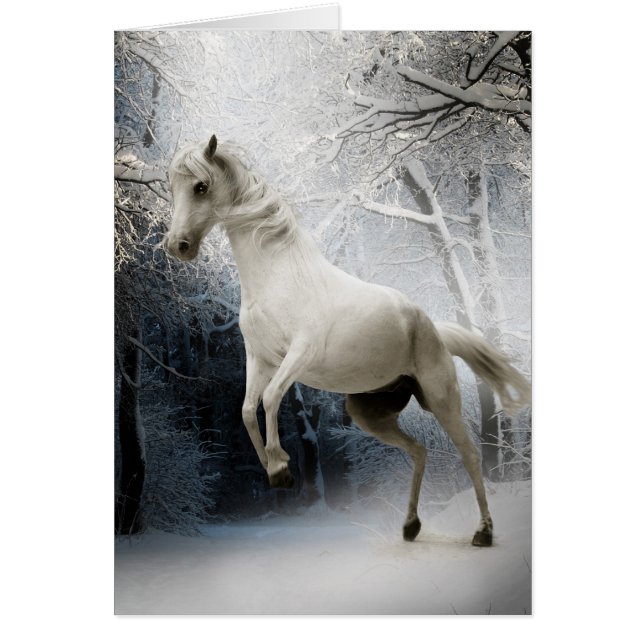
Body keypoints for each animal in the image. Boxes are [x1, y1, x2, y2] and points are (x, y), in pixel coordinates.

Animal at [164, 134, 530, 545]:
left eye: (201, 186)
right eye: (172, 187)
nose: (177, 246)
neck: (279, 276)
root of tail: (433, 328)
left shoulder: (299, 354)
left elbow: (271, 398)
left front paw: (281, 467)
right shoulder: (259, 358)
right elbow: (246, 409)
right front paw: (274, 471)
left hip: (442, 399)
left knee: (469, 454)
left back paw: (483, 532)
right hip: (369, 414)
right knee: (419, 451)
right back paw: (410, 526)